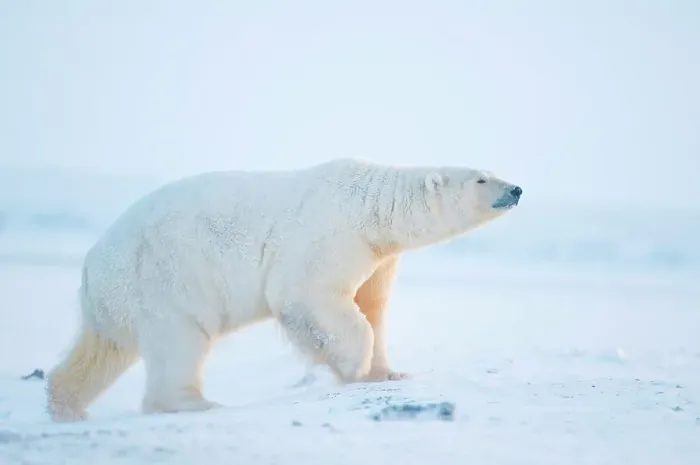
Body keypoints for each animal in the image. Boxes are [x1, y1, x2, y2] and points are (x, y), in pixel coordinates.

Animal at [45, 157, 523, 422]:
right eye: (482, 179)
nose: (517, 188)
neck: (370, 204)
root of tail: (89, 268)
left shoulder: (378, 257)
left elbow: (373, 306)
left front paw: (387, 372)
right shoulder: (328, 234)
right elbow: (308, 296)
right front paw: (352, 364)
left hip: (118, 300)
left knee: (103, 351)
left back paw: (68, 406)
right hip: (162, 282)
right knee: (179, 342)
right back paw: (194, 402)